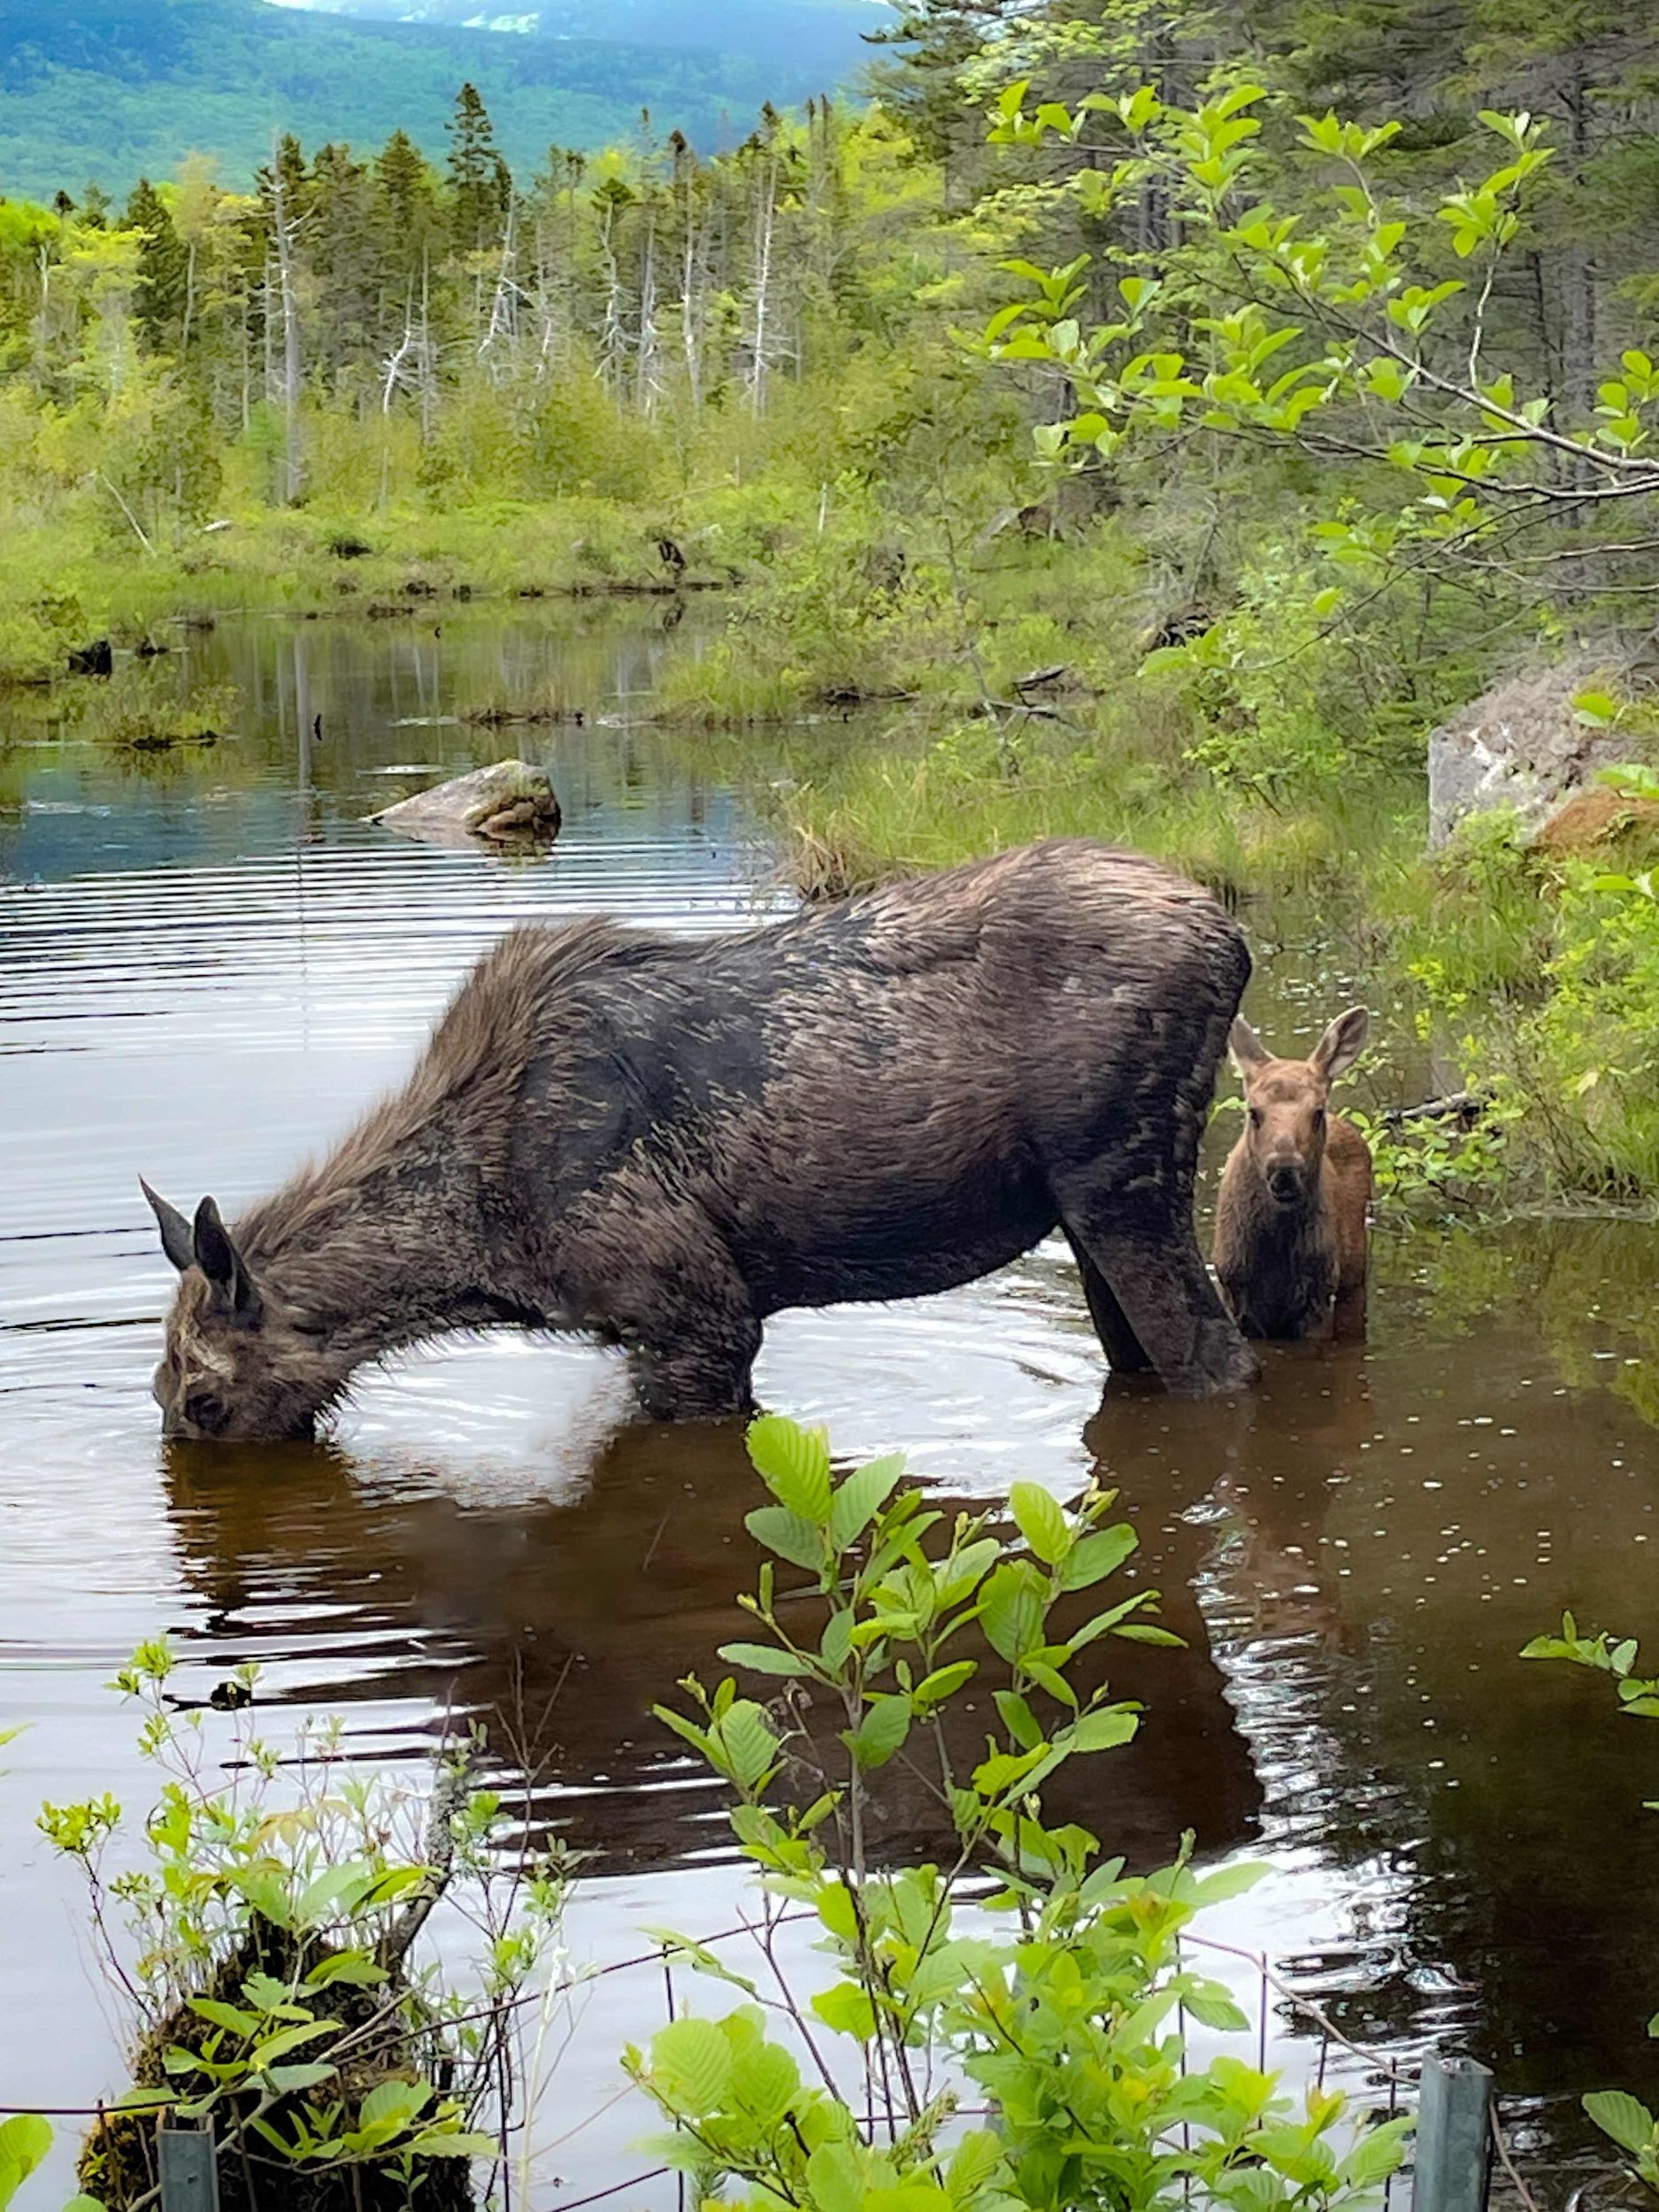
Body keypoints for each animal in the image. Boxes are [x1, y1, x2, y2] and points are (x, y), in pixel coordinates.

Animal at [1213, 1007, 1373, 1343]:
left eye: (1317, 1111)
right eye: (1254, 1112)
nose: (1284, 1169)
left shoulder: (1319, 1294)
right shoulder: (1233, 1289)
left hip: (1354, 1277)